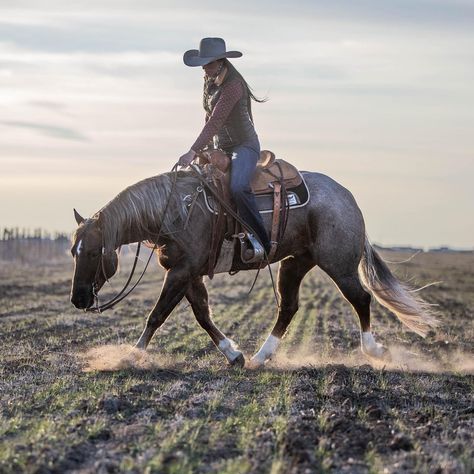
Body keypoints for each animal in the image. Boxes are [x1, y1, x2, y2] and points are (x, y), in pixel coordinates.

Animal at [68, 168, 438, 368]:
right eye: (74, 251)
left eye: (93, 252)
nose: (78, 299)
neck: (175, 209)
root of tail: (347, 197)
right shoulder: (187, 273)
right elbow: (202, 315)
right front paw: (234, 355)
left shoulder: (182, 272)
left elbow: (157, 315)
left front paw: (129, 356)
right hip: (295, 262)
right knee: (289, 307)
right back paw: (261, 357)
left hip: (339, 264)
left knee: (360, 298)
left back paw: (373, 350)